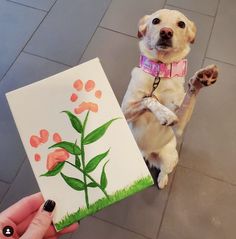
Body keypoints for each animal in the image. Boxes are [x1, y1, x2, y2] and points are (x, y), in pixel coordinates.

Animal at [122, 8, 218, 189]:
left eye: (181, 24)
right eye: (155, 21)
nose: (166, 32)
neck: (160, 71)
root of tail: (145, 153)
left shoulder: (180, 124)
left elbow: (189, 96)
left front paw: (200, 79)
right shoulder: (125, 110)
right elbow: (149, 99)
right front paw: (164, 113)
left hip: (169, 156)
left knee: (165, 170)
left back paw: (162, 180)